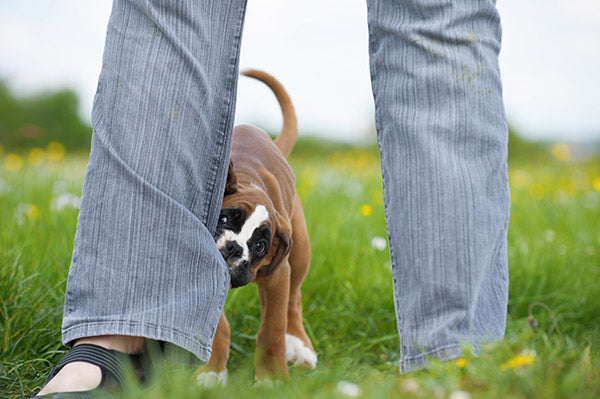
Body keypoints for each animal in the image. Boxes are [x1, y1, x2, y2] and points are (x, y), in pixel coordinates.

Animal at [196, 70, 318, 386]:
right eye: (224, 219)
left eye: (260, 245)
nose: (233, 248)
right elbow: (218, 326)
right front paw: (213, 370)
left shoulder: (277, 277)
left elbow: (272, 329)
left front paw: (273, 377)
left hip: (298, 254)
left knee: (293, 301)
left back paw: (299, 346)